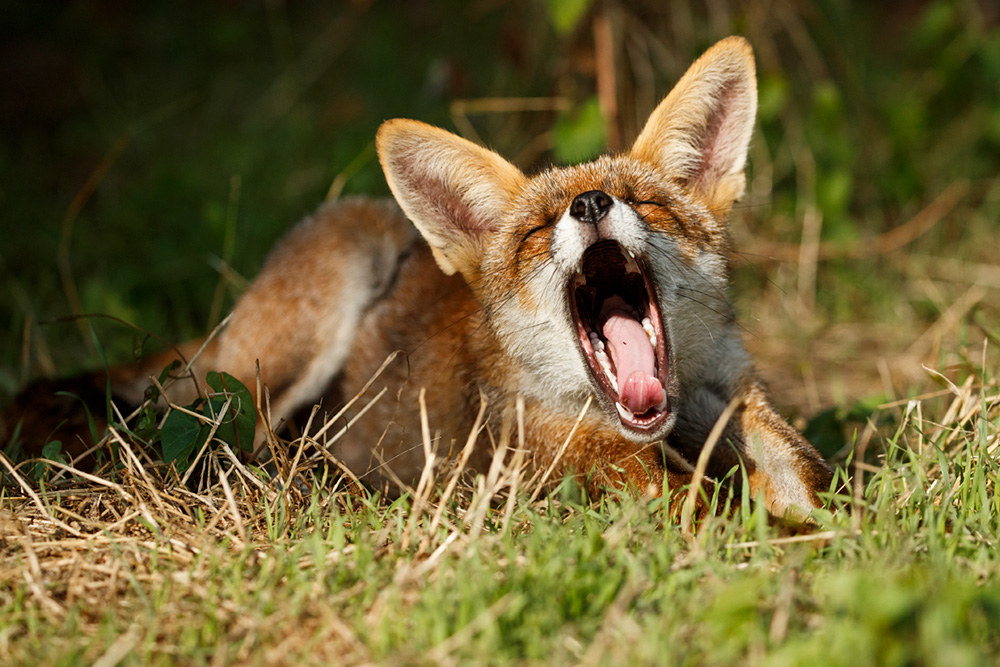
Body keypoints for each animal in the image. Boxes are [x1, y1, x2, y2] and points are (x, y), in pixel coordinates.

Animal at [4, 36, 832, 520]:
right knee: (196, 438)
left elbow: (804, 485)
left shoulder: (742, 410)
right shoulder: (594, 474)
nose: (593, 204)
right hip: (303, 316)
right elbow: (706, 516)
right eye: (537, 230)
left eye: (647, 203)